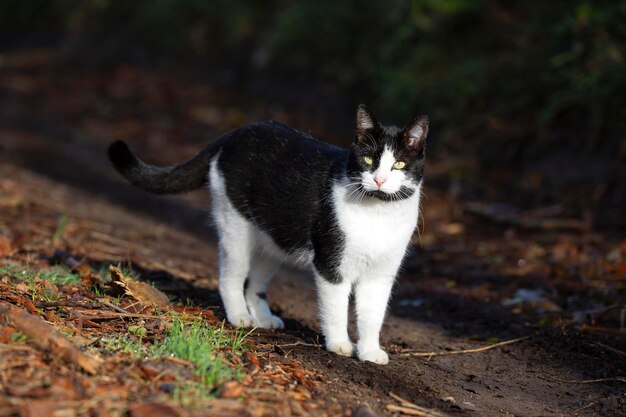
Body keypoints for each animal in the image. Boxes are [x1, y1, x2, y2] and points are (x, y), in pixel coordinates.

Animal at [109, 105, 426, 364]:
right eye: (369, 159)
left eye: (398, 164)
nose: (379, 180)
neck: (378, 213)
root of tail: (236, 132)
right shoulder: (331, 264)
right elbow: (336, 308)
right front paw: (339, 344)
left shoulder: (381, 275)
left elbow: (373, 315)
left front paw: (370, 351)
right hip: (234, 225)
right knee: (231, 277)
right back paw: (240, 317)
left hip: (272, 241)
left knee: (255, 283)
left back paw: (263, 318)